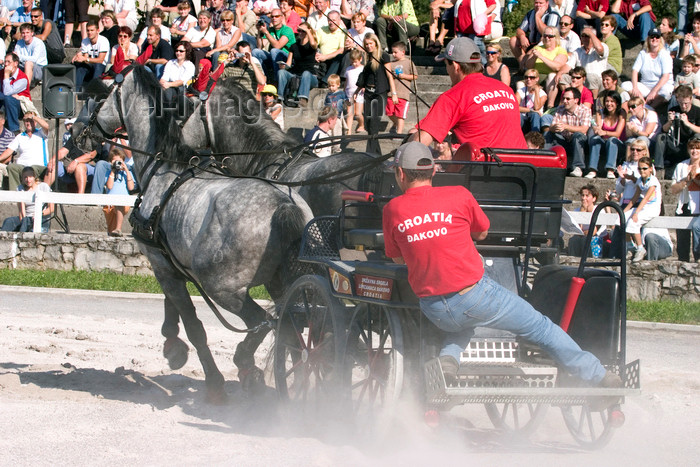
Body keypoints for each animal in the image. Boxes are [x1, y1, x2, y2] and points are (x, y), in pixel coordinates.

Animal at [82, 66, 312, 402]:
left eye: (99, 97)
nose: (79, 134)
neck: (164, 168)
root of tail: (283, 203)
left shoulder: (160, 263)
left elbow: (192, 324)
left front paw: (210, 379)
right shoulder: (168, 260)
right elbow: (172, 306)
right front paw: (172, 345)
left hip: (223, 289)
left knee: (264, 323)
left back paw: (247, 366)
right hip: (281, 282)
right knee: (293, 329)